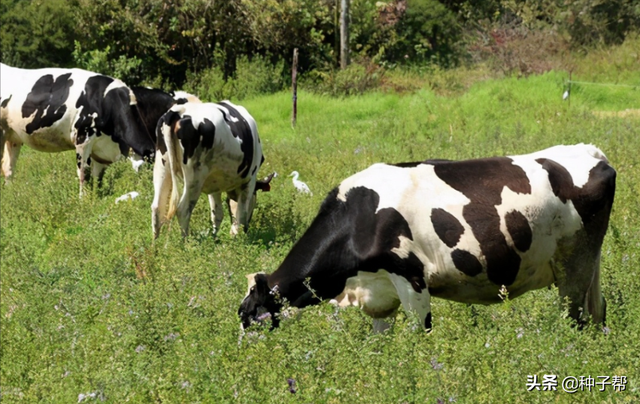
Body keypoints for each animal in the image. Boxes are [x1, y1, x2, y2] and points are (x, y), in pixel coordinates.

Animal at [0, 63, 155, 196]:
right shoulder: (83, 137)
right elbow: (84, 173)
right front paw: (83, 200)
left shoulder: (101, 151)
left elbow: (97, 178)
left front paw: (95, 198)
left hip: (13, 136)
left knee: (8, 168)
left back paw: (10, 194)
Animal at [152, 101, 272, 238]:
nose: (247, 229)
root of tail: (178, 110)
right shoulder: (249, 181)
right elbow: (241, 214)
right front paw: (237, 237)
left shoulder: (214, 185)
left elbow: (217, 214)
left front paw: (215, 238)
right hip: (194, 178)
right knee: (183, 210)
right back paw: (185, 242)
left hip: (162, 168)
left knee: (157, 208)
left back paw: (155, 243)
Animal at [239, 144, 616, 332]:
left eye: (250, 318)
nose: (241, 353)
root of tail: (590, 152)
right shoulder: (380, 295)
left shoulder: (411, 279)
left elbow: (419, 334)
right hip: (588, 266)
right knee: (598, 313)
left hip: (574, 264)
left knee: (576, 318)